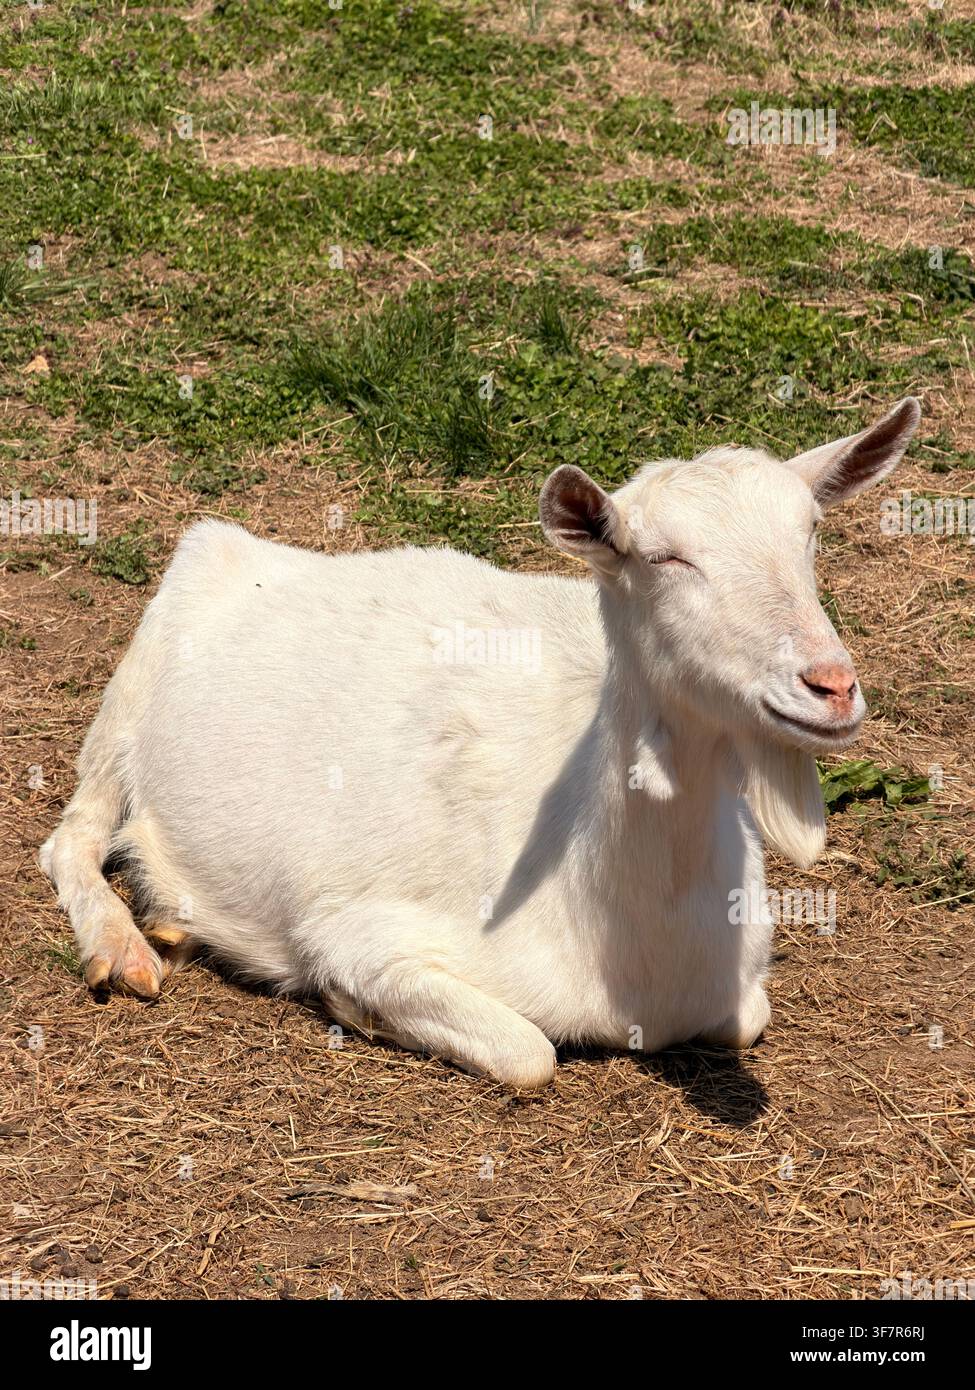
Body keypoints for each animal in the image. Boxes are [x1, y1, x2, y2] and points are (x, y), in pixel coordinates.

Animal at [40, 397, 920, 1087]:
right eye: (663, 558)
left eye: (810, 533)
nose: (830, 685)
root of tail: (248, 546)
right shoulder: (357, 927)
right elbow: (530, 1053)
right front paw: (354, 1008)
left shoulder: (737, 977)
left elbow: (748, 1016)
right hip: (132, 693)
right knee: (72, 836)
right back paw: (125, 946)